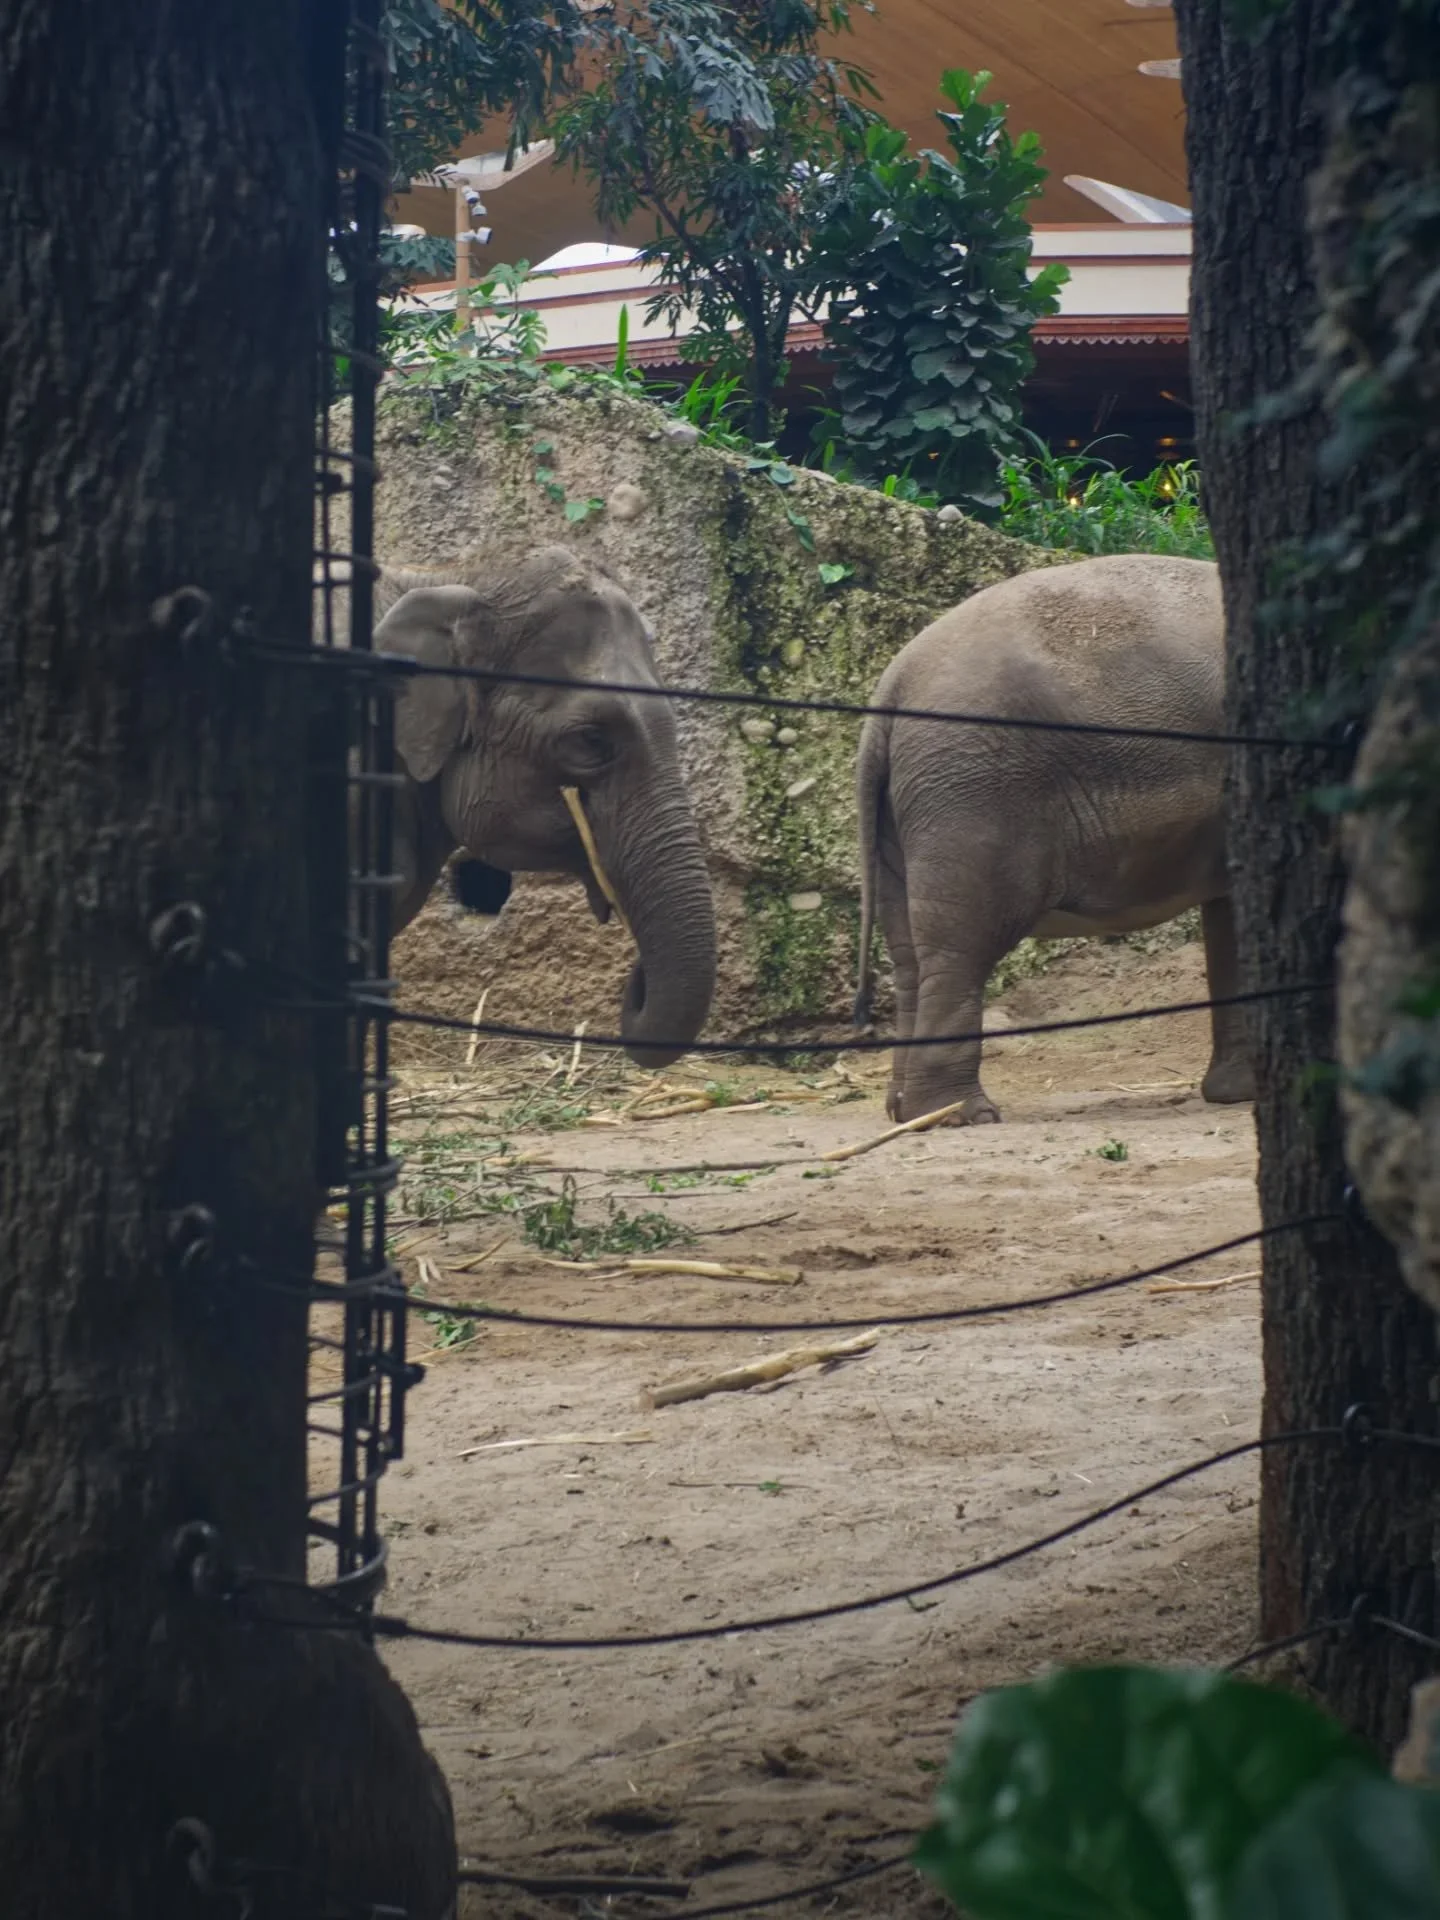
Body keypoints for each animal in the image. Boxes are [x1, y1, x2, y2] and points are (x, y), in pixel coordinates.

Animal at [852, 552, 1256, 1125]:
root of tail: (892, 687)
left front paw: (1238, 1094)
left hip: (907, 807)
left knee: (910, 955)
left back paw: (906, 1114)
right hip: (974, 788)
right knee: (961, 947)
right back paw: (963, 1115)